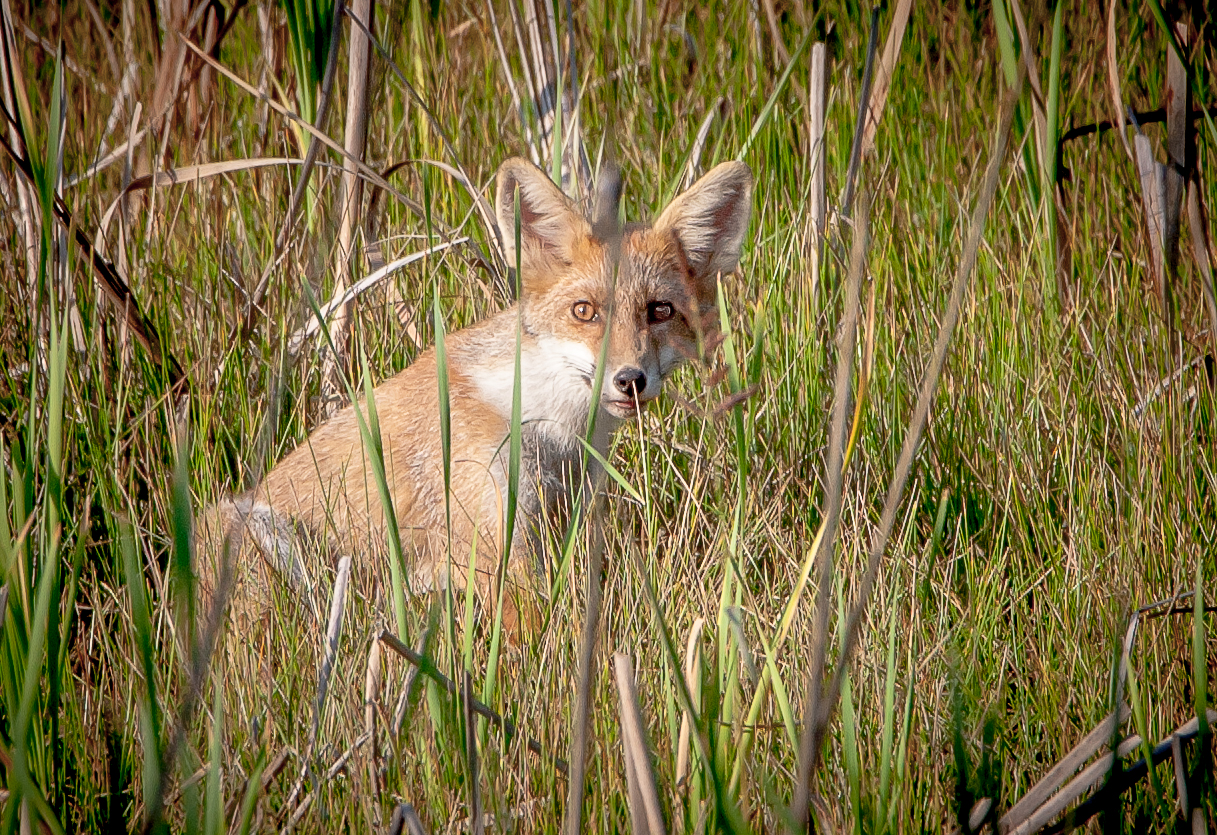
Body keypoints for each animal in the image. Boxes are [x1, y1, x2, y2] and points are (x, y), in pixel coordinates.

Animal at [198, 156, 753, 644]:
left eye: (660, 311)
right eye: (584, 311)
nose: (629, 380)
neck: (545, 425)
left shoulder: (556, 523)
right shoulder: (491, 539)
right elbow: (534, 640)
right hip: (262, 535)